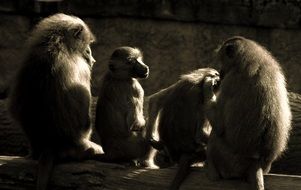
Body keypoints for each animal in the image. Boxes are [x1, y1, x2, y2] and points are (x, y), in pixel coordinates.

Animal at [8, 13, 102, 190]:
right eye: (87, 45)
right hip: (76, 147)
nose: (92, 59)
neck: (56, 45)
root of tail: (50, 145)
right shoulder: (82, 68)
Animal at [203, 36, 292, 190]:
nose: (220, 73)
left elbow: (219, 125)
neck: (250, 58)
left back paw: (212, 173)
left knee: (216, 136)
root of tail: (255, 164)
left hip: (231, 162)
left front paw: (208, 87)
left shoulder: (229, 81)